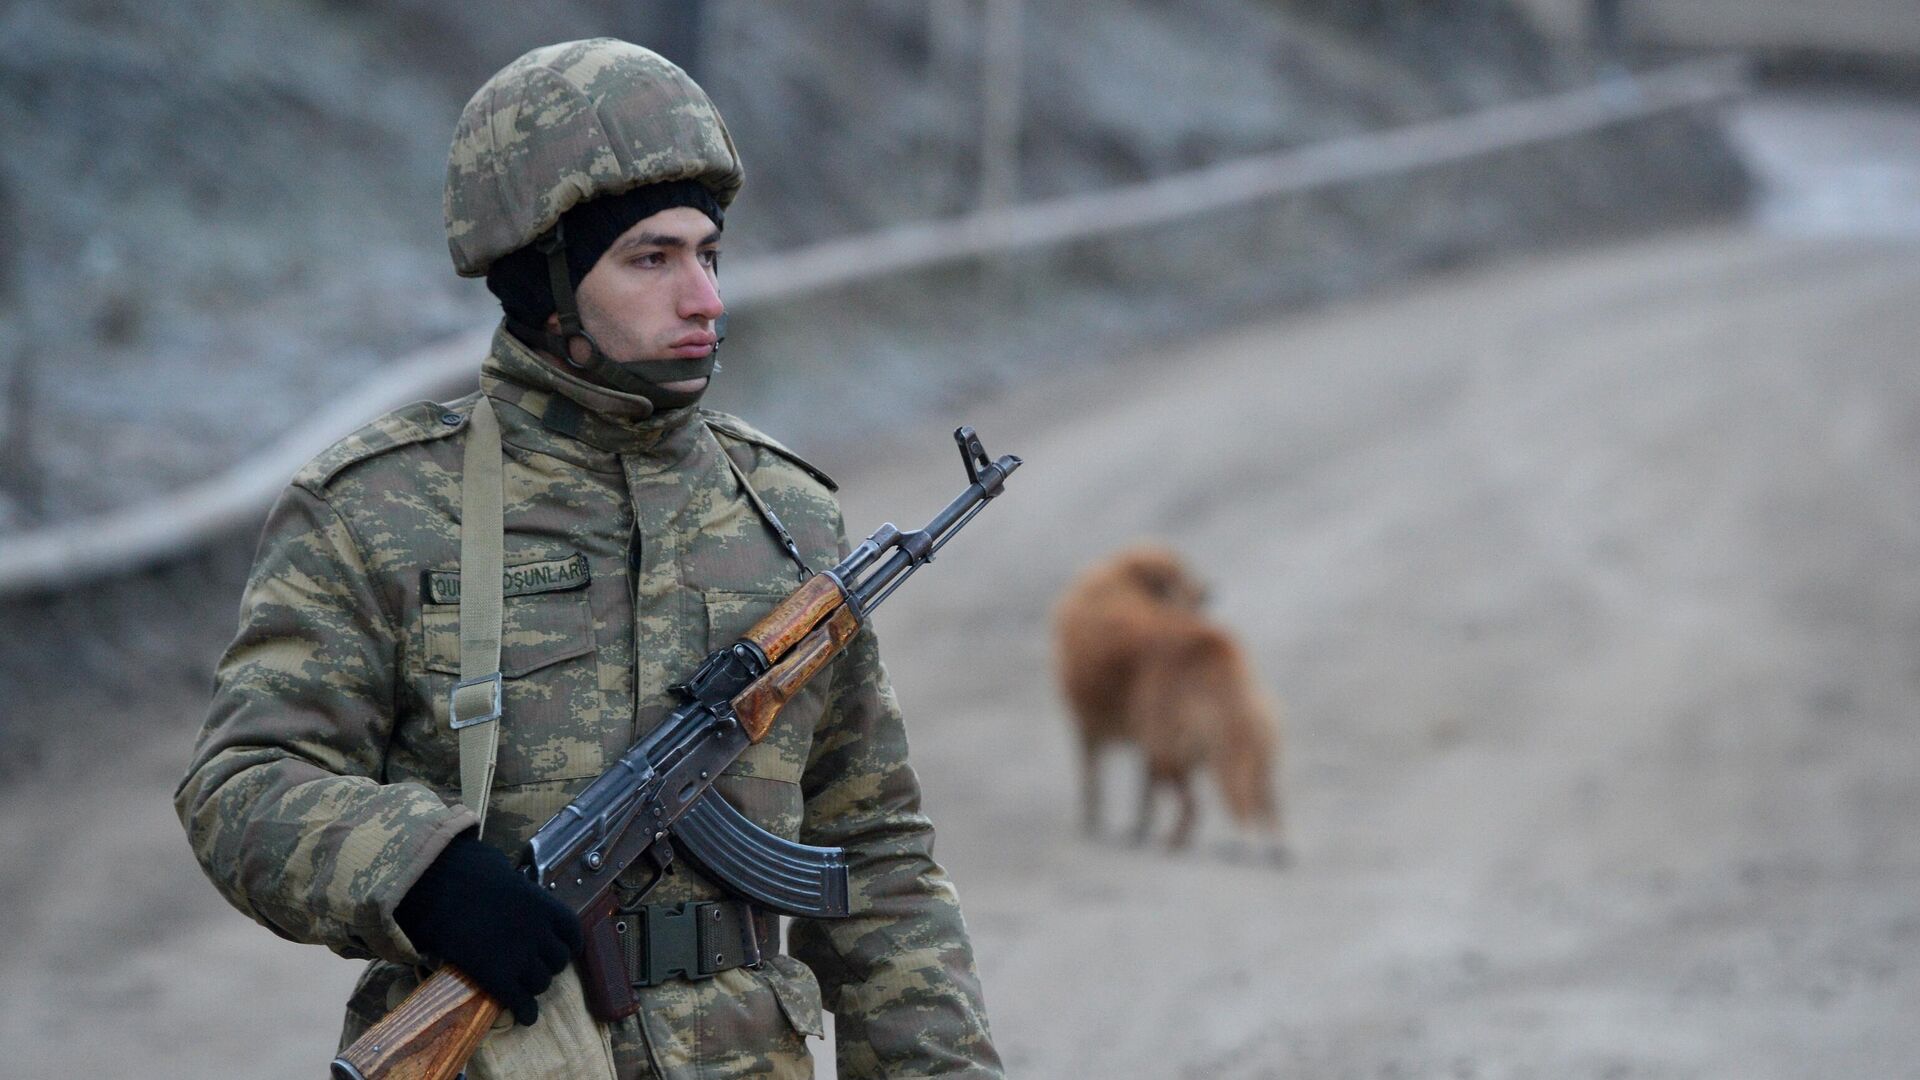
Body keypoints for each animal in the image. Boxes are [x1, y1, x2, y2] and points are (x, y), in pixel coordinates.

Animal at [1059, 541, 1282, 860]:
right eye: (1190, 587)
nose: (1208, 592)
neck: (1124, 581)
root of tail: (1215, 649)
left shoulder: (1096, 727)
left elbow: (1097, 786)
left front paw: (1108, 826)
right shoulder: (1126, 736)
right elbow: (1134, 793)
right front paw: (1133, 829)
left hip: (1172, 751)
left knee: (1194, 806)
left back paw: (1177, 843)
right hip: (1249, 748)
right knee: (1265, 803)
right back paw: (1276, 850)